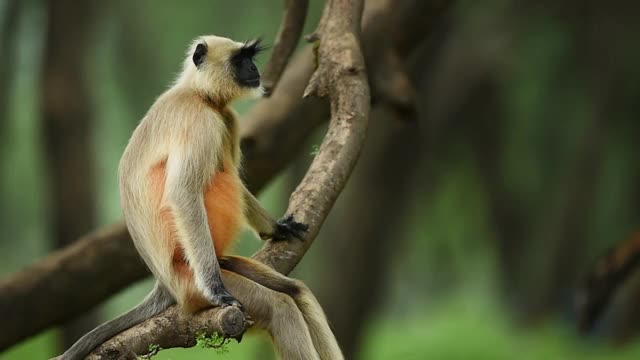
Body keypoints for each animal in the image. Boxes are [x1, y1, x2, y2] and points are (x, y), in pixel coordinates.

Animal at [62, 35, 344, 360]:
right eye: (240, 60)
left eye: (250, 59)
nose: (254, 68)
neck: (197, 94)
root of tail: (166, 287)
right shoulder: (200, 121)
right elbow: (183, 192)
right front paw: (217, 292)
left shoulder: (226, 119)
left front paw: (277, 228)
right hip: (190, 285)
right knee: (280, 305)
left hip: (223, 263)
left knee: (295, 290)